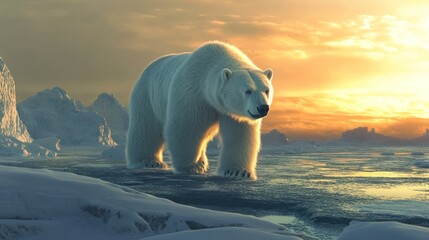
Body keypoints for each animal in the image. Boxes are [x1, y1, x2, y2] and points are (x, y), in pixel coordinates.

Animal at [127, 41, 272, 180]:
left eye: (266, 90)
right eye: (248, 91)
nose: (263, 108)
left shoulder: (232, 112)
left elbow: (239, 134)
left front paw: (237, 171)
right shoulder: (193, 94)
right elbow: (186, 128)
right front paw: (191, 167)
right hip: (148, 96)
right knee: (146, 129)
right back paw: (149, 161)